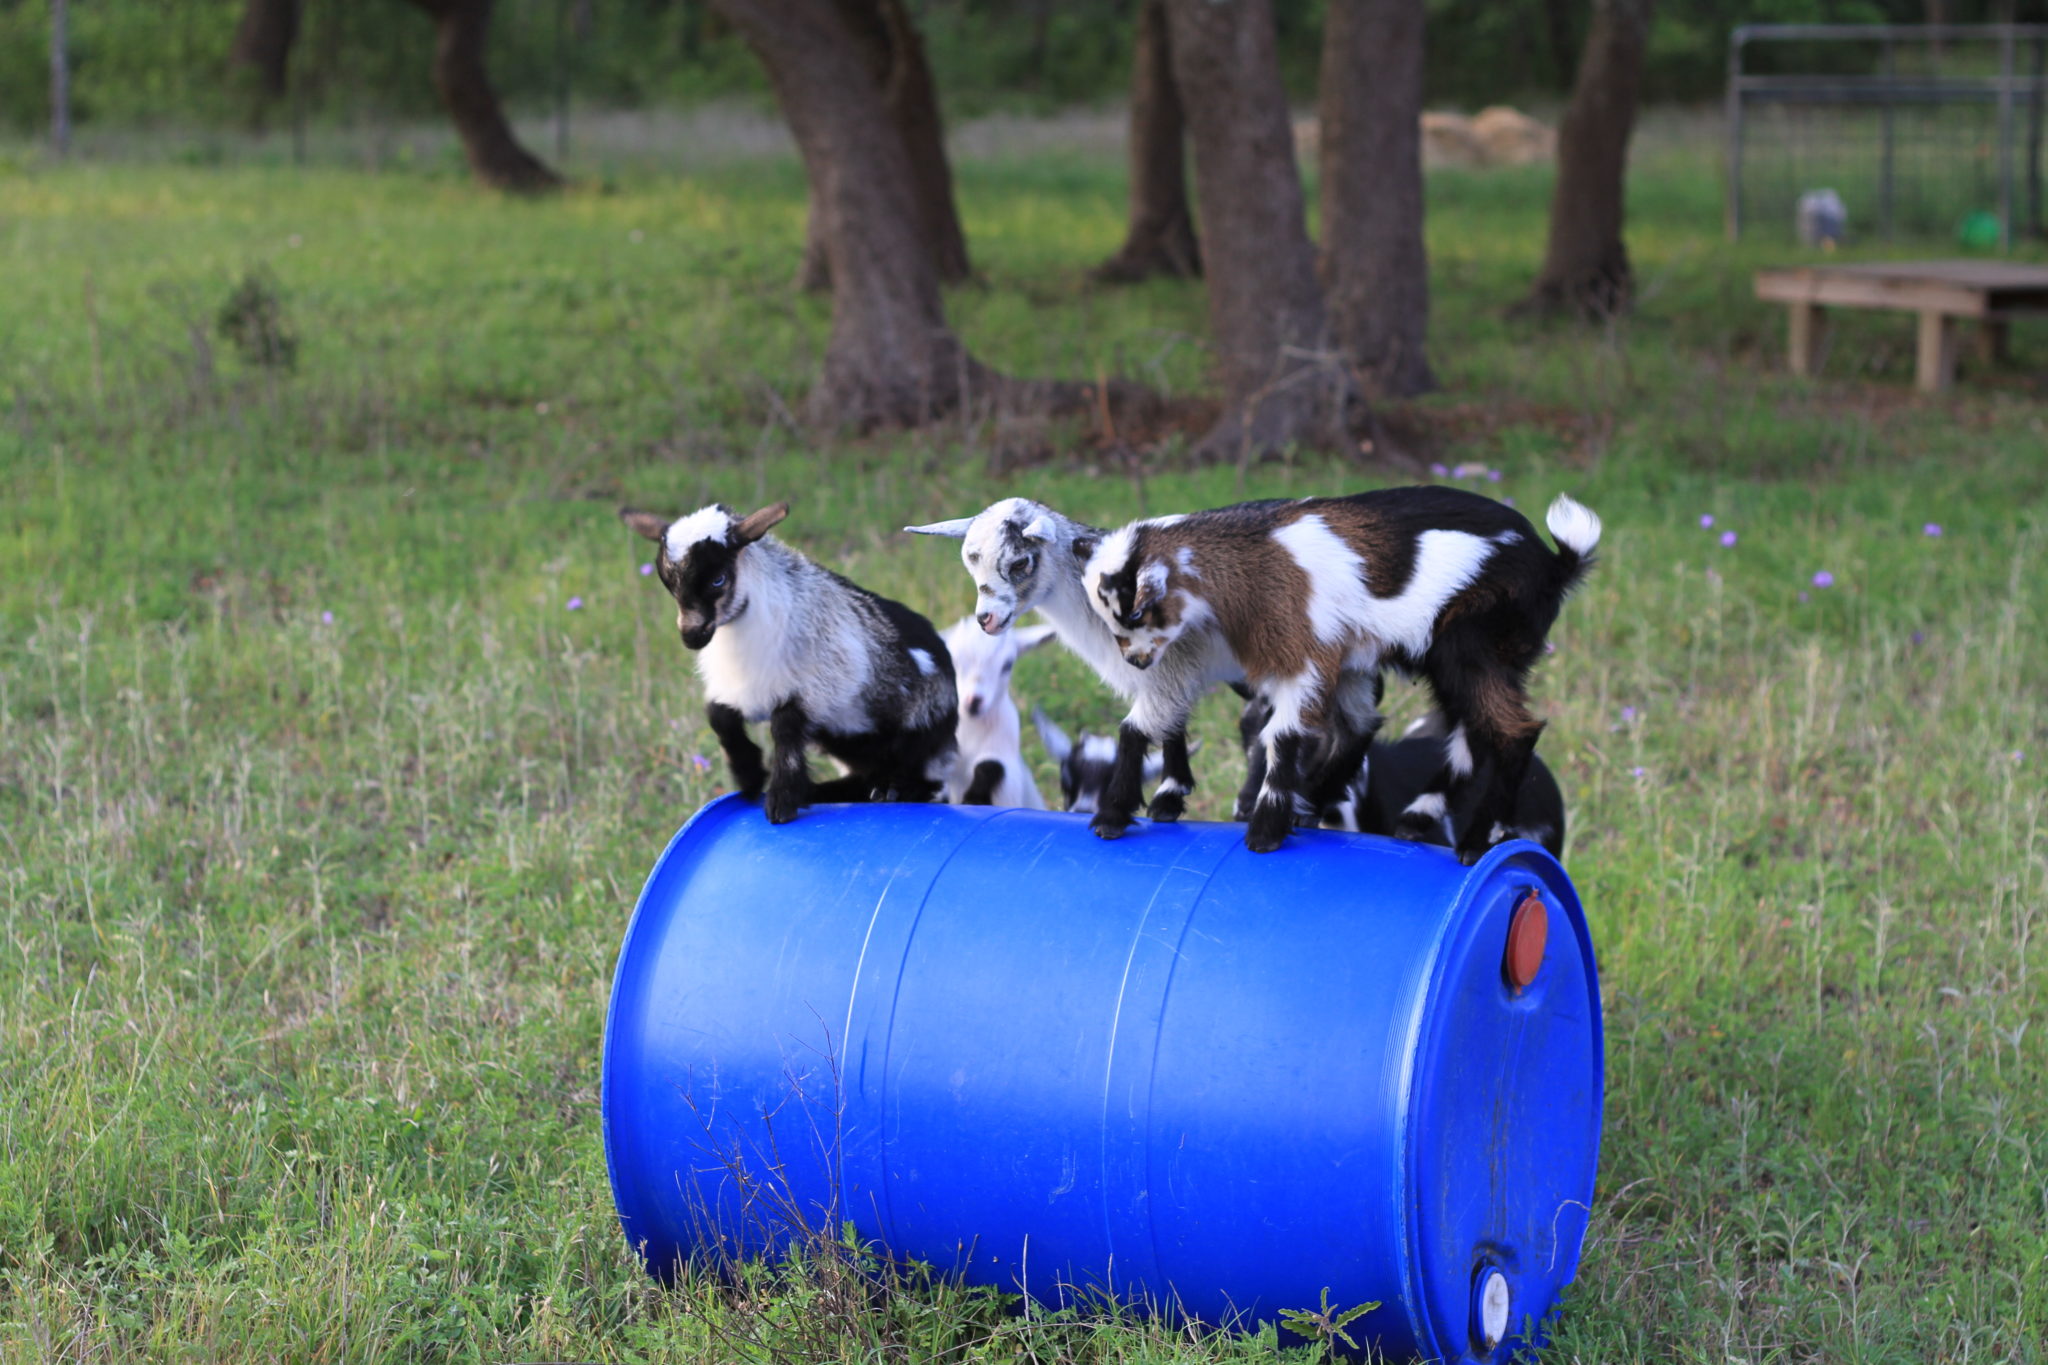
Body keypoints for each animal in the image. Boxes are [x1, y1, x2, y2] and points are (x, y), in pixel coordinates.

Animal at [622, 502, 958, 824]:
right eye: (669, 585)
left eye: (718, 580)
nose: (691, 637)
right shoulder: (745, 692)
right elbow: (718, 715)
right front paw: (749, 777)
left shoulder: (820, 686)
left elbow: (785, 728)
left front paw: (781, 800)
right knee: (866, 775)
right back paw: (832, 792)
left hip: (915, 732)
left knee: (923, 779)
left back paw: (890, 791)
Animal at [1079, 487, 1600, 858]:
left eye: (1134, 614)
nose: (1134, 662)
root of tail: (1556, 563)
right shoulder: (1215, 657)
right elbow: (1143, 723)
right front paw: (1119, 813)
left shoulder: (1303, 652)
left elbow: (1283, 735)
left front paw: (1265, 831)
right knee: (1433, 728)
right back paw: (1395, 815)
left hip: (1471, 642)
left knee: (1512, 731)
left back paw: (1474, 841)